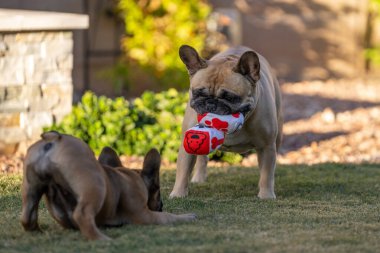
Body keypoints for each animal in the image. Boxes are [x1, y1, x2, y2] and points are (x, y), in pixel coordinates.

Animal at [21, 131, 196, 240]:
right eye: (158, 191)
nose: (161, 204)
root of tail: (53, 139)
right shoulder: (144, 215)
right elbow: (168, 216)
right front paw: (187, 217)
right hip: (95, 184)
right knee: (82, 214)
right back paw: (101, 238)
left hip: (31, 186)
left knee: (27, 218)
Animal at [169, 45, 282, 200]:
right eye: (198, 93)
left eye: (230, 97)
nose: (211, 103)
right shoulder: (187, 145)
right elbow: (183, 170)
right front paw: (178, 194)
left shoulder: (266, 146)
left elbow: (266, 173)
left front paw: (266, 195)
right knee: (202, 158)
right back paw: (199, 178)